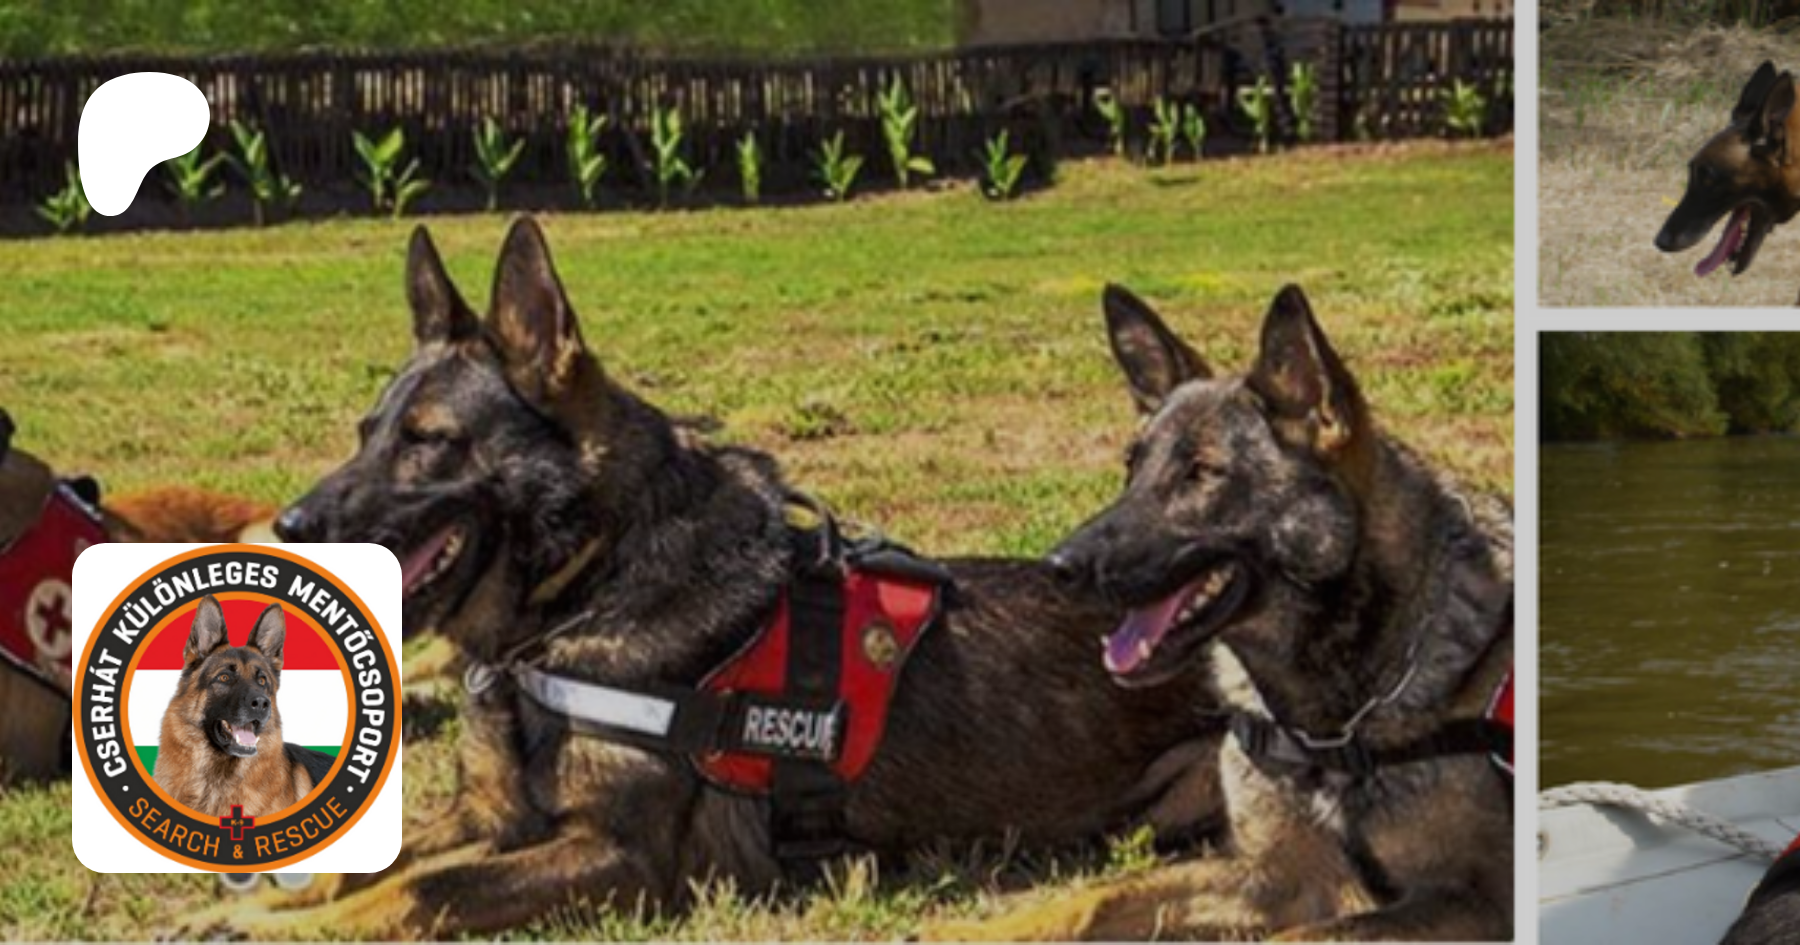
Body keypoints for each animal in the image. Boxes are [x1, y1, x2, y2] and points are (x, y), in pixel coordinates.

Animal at [187, 217, 1228, 938]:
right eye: (366, 433)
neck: (589, 589)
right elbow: (371, 862)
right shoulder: (487, 812)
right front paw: (261, 903)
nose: (292, 529)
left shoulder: (619, 856)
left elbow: (422, 893)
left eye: (428, 441)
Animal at [925, 284, 1514, 941]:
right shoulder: (1273, 877)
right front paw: (968, 930)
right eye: (1131, 468)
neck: (1331, 724)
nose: (1058, 567)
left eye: (1203, 473)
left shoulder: (1475, 900)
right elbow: (1099, 897)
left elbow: (1304, 936)